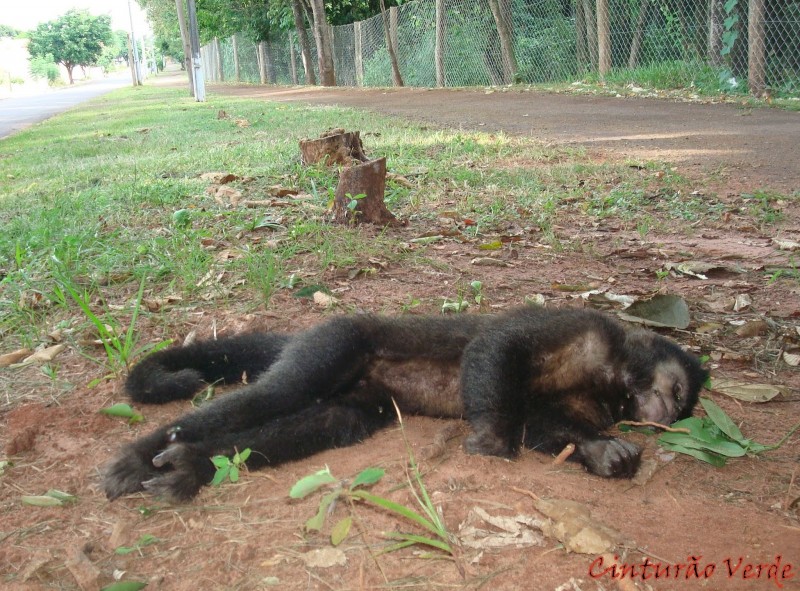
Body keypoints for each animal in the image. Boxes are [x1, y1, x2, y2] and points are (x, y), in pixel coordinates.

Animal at [101, 306, 708, 504]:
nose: (662, 417)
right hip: (338, 341)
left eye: (679, 412)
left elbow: (544, 424)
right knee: (278, 394)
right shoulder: (579, 322)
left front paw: (605, 453)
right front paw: (491, 439)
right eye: (679, 395)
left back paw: (192, 467)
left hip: (361, 399)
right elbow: (494, 346)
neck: (612, 372)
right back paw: (139, 456)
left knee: (324, 421)